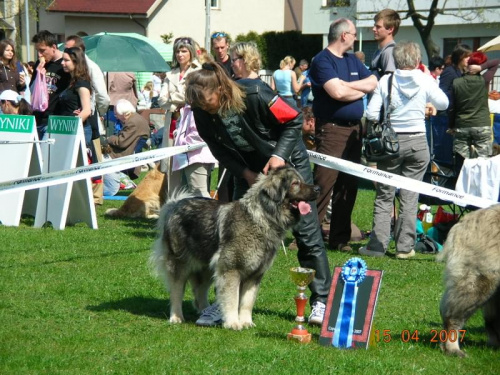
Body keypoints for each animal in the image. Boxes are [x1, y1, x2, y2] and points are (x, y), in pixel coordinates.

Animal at [150, 166, 318, 330]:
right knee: (176, 291)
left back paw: (204, 312)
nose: (317, 188)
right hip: (180, 264)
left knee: (199, 290)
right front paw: (232, 323)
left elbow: (247, 301)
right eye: (295, 183)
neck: (261, 218)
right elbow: (232, 299)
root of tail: (173, 205)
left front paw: (246, 322)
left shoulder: (254, 275)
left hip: (206, 268)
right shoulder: (231, 270)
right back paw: (176, 317)